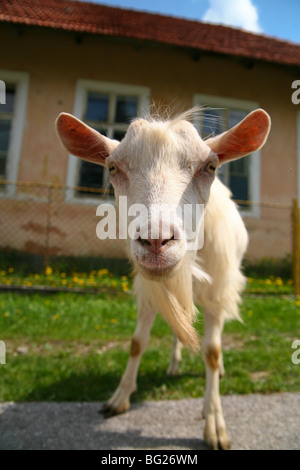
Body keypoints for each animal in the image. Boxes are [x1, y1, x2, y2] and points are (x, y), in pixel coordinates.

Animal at [55, 106, 270, 448]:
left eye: (210, 166)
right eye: (112, 167)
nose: (156, 240)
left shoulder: (217, 294)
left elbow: (211, 352)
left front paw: (214, 422)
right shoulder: (149, 290)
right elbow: (137, 343)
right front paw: (119, 398)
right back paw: (173, 364)